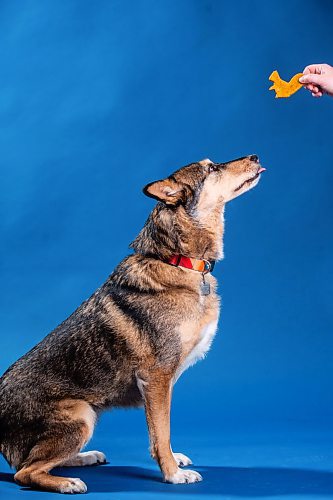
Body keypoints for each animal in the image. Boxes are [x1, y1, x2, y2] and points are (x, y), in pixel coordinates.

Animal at [0, 155, 264, 492]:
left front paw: (173, 461)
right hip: (81, 414)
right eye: (211, 169)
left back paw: (84, 457)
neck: (176, 259)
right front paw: (172, 474)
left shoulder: (162, 386)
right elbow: (161, 432)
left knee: (36, 461)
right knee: (25, 471)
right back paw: (67, 482)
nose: (255, 157)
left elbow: (160, 431)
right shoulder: (157, 379)